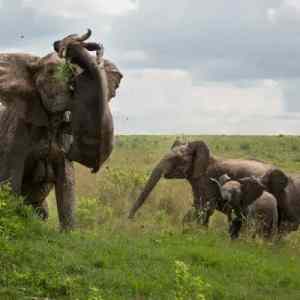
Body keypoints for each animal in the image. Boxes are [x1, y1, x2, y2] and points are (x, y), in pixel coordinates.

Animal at [0, 29, 123, 229]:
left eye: (76, 73)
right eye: (51, 72)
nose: (59, 43)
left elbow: (67, 183)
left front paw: (70, 232)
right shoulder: (16, 131)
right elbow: (11, 180)